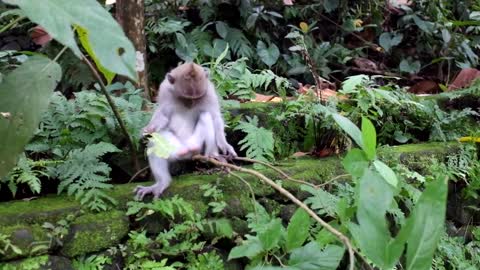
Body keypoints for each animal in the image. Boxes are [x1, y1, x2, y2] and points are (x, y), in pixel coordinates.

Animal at [134, 62, 237, 199]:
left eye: (196, 98)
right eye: (186, 98)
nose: (191, 104)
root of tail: (189, 150)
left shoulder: (209, 92)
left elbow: (215, 117)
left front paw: (224, 144)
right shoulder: (164, 90)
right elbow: (163, 116)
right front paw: (148, 129)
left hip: (197, 145)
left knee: (206, 115)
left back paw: (212, 155)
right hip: (175, 150)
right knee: (155, 142)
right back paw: (161, 183)